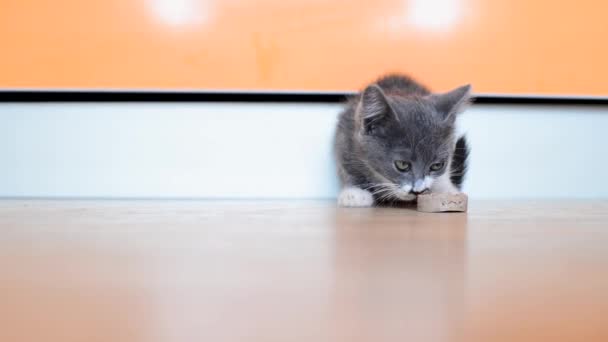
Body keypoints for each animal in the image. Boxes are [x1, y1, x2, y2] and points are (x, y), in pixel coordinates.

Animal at [332, 75, 470, 207]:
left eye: (437, 165)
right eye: (402, 165)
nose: (417, 191)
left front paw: (446, 189)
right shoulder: (344, 134)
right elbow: (345, 166)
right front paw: (354, 193)